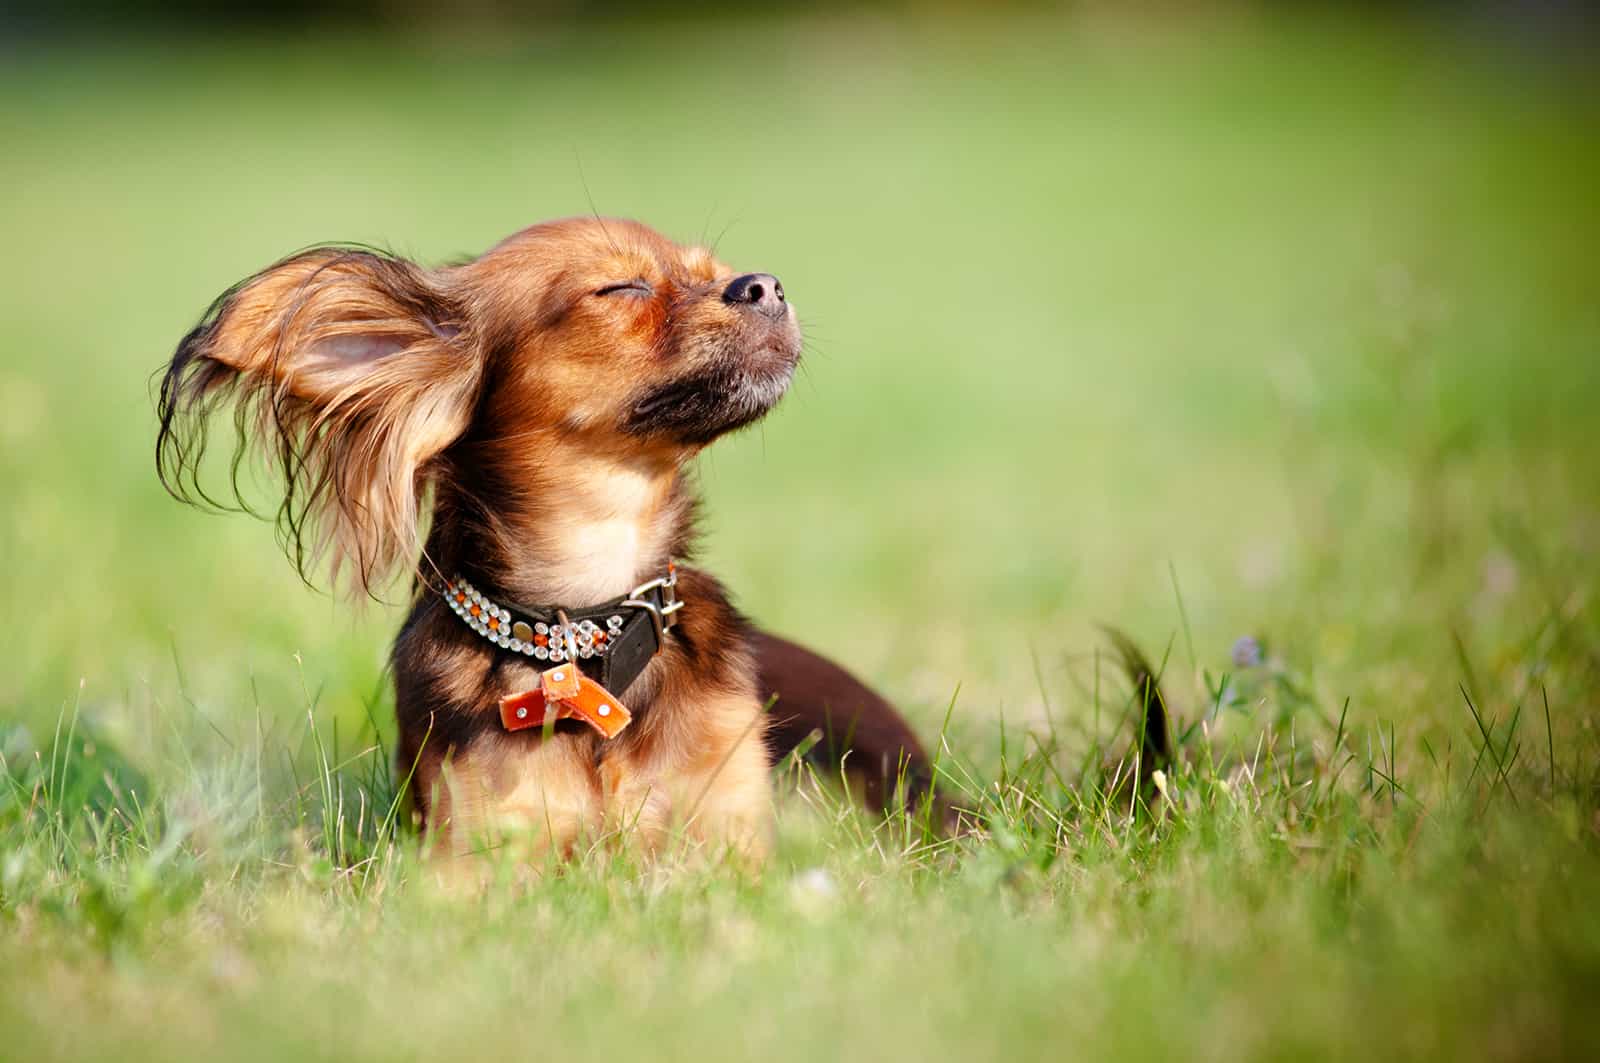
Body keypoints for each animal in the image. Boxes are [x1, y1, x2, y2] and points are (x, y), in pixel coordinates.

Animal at [152, 216, 934, 864]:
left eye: (718, 270)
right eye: (621, 287)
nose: (765, 285)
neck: (592, 622)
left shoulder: (728, 827)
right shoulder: (481, 845)